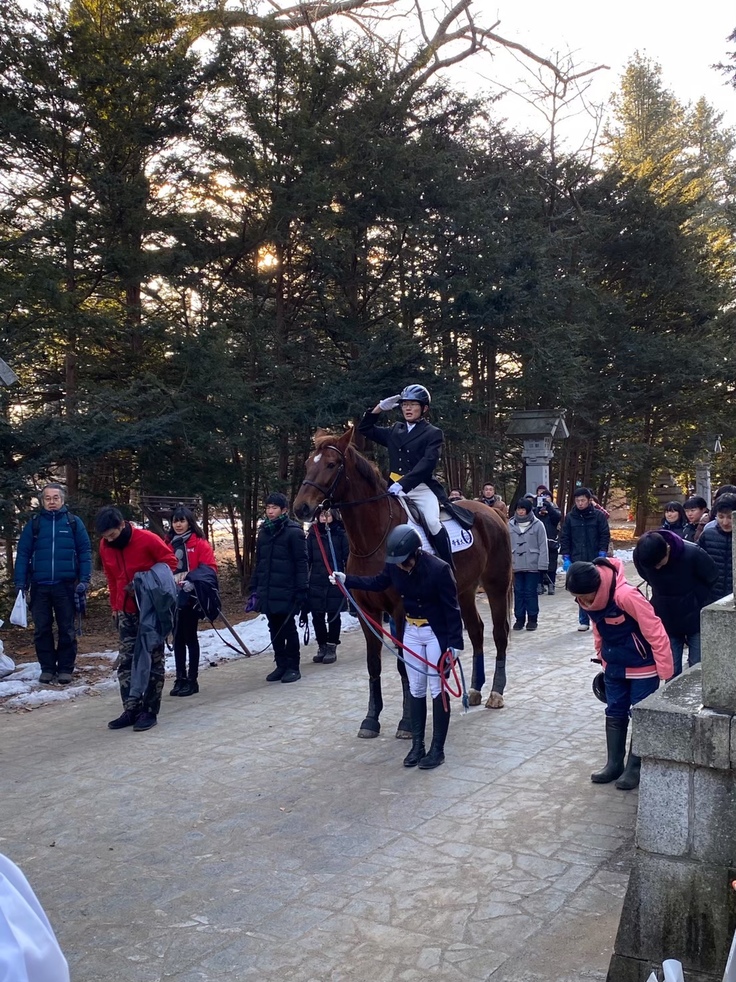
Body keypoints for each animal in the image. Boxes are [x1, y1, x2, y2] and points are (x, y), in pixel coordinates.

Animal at [294, 426, 512, 740]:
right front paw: (371, 719)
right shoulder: (368, 611)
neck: (373, 540)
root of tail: (492, 512)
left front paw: (407, 723)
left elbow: (403, 665)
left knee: (499, 633)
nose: (301, 508)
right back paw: (473, 689)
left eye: (332, 465)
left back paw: (496, 692)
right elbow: (374, 664)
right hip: (464, 590)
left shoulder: (399, 610)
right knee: (476, 631)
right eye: (307, 464)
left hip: (496, 584)